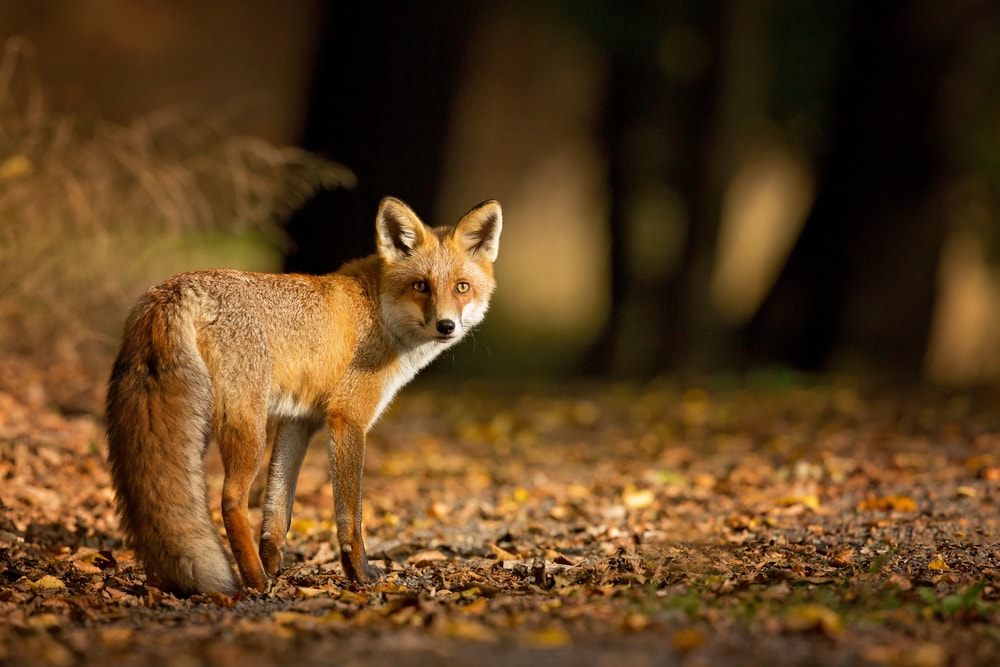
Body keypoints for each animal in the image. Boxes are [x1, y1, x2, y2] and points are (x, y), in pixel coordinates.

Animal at [105, 196, 501, 596]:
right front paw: (359, 574)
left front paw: (275, 563)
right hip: (246, 428)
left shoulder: (299, 420)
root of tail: (174, 290)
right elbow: (350, 515)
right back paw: (255, 581)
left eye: (462, 287)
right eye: (421, 285)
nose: (446, 326)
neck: (378, 311)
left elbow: (277, 511)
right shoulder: (347, 418)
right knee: (230, 501)